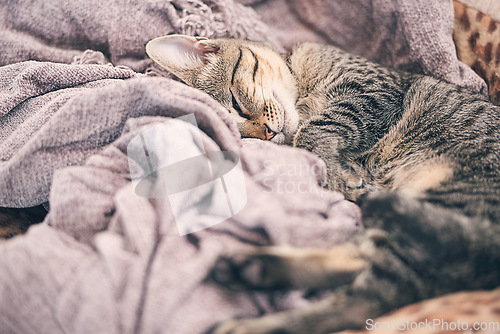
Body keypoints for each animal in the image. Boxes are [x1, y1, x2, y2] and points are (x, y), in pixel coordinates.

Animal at [145, 35, 500, 332]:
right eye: (244, 136)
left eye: (236, 102)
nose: (268, 134)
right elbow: (312, 135)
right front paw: (346, 175)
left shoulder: (370, 90)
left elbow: (315, 130)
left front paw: (342, 174)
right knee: (372, 284)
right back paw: (252, 270)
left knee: (376, 295)